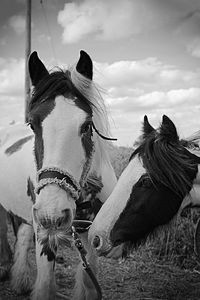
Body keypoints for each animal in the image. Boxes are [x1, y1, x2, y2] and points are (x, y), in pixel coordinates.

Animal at [0, 50, 117, 298]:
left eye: (87, 125)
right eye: (32, 124)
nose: (52, 214)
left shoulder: (89, 236)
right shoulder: (45, 234)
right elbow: (45, 286)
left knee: (22, 235)